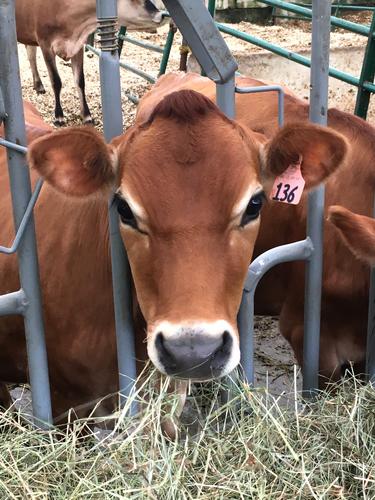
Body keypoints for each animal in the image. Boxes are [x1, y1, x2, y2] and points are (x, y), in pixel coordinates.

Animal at [16, 0, 164, 125]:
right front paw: (59, 116)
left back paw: (38, 85)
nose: (161, 14)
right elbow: (56, 82)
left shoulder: (78, 46)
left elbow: (80, 81)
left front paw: (87, 115)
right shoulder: (45, 44)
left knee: (31, 54)